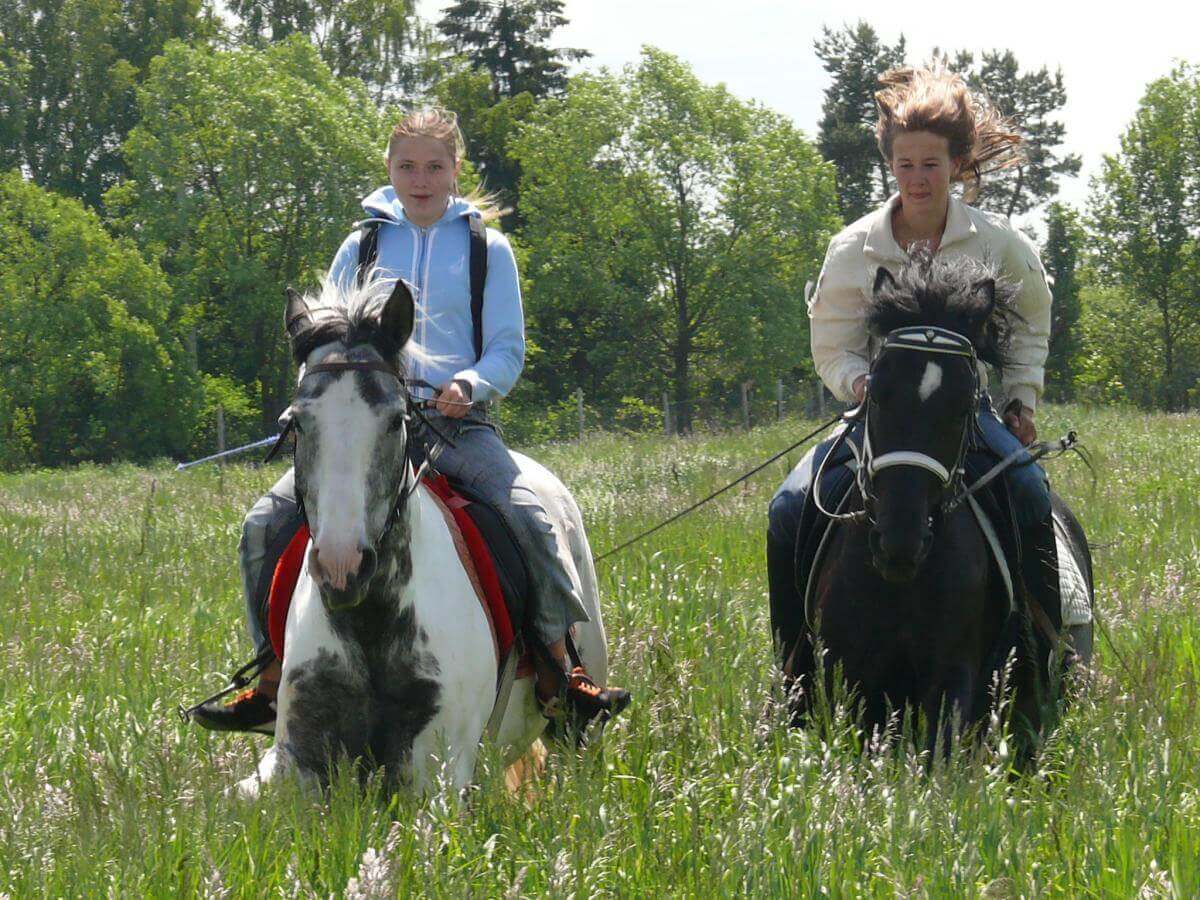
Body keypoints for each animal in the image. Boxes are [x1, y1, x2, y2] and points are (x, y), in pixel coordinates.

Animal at [236, 278, 609, 801]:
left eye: (397, 420)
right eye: (296, 422)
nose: (342, 566)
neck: (370, 626)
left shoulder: (435, 776)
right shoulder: (295, 765)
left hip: (574, 724)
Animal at [777, 254, 1089, 763]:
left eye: (963, 405)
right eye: (877, 393)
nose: (900, 542)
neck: (900, 585)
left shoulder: (951, 680)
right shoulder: (852, 682)